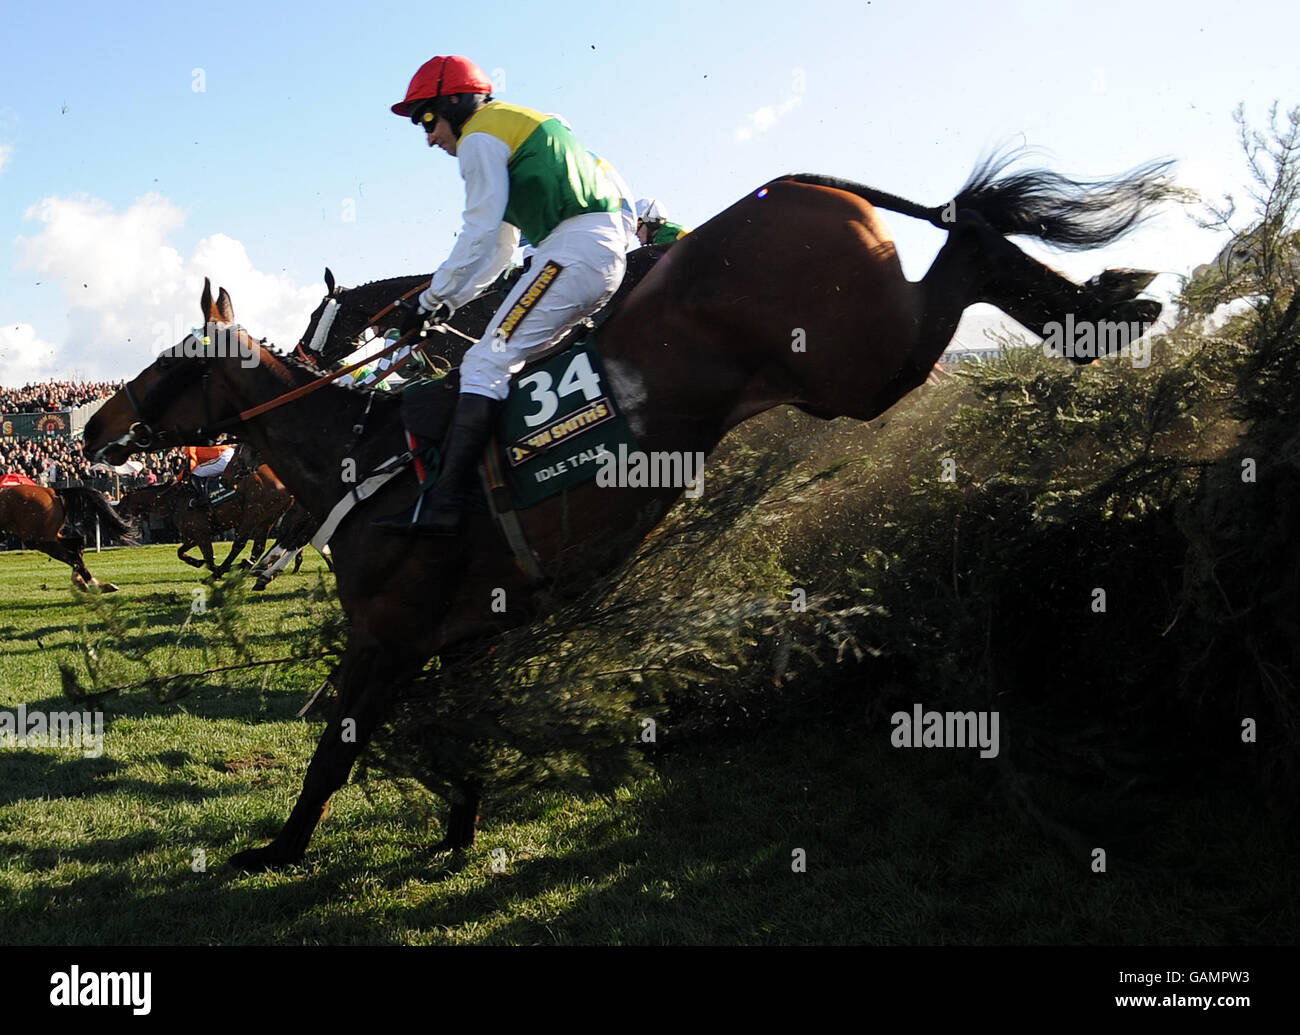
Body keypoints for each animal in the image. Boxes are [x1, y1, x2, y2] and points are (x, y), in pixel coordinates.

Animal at [0, 486, 139, 590]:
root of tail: (52, 492)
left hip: (39, 540)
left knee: (71, 554)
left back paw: (92, 583)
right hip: (49, 537)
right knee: (78, 545)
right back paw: (84, 580)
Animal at [118, 465, 293, 577]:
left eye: (122, 503)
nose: (117, 516)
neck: (174, 499)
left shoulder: (202, 534)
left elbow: (208, 560)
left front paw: (215, 568)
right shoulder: (195, 535)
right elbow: (180, 552)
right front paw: (197, 562)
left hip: (252, 514)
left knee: (239, 544)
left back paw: (227, 568)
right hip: (268, 519)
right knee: (258, 547)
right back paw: (245, 565)